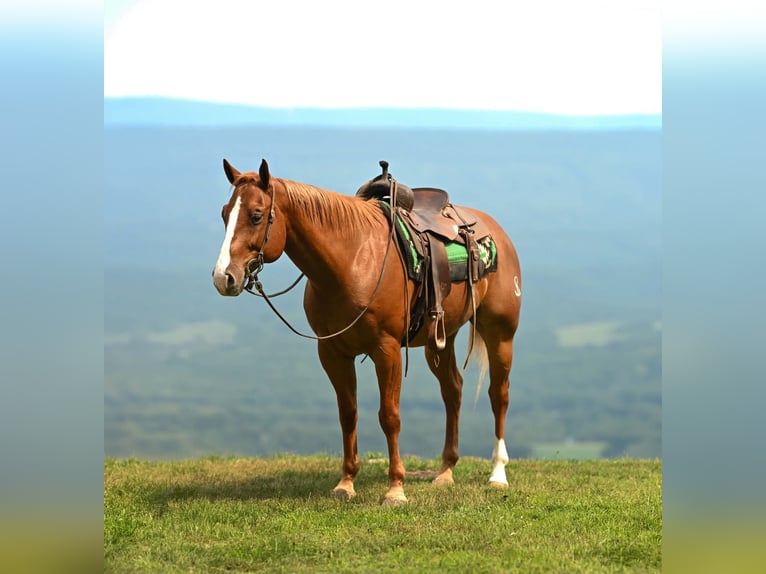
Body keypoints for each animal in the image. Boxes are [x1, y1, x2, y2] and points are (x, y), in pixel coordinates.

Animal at [212, 158, 521, 505]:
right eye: (225, 213)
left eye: (255, 214)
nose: (223, 277)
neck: (351, 261)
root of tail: (496, 231)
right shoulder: (332, 352)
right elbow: (348, 413)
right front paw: (346, 483)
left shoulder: (386, 350)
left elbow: (390, 416)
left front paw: (396, 489)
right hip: (440, 340)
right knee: (452, 390)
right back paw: (445, 471)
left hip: (500, 333)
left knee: (499, 395)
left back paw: (498, 473)